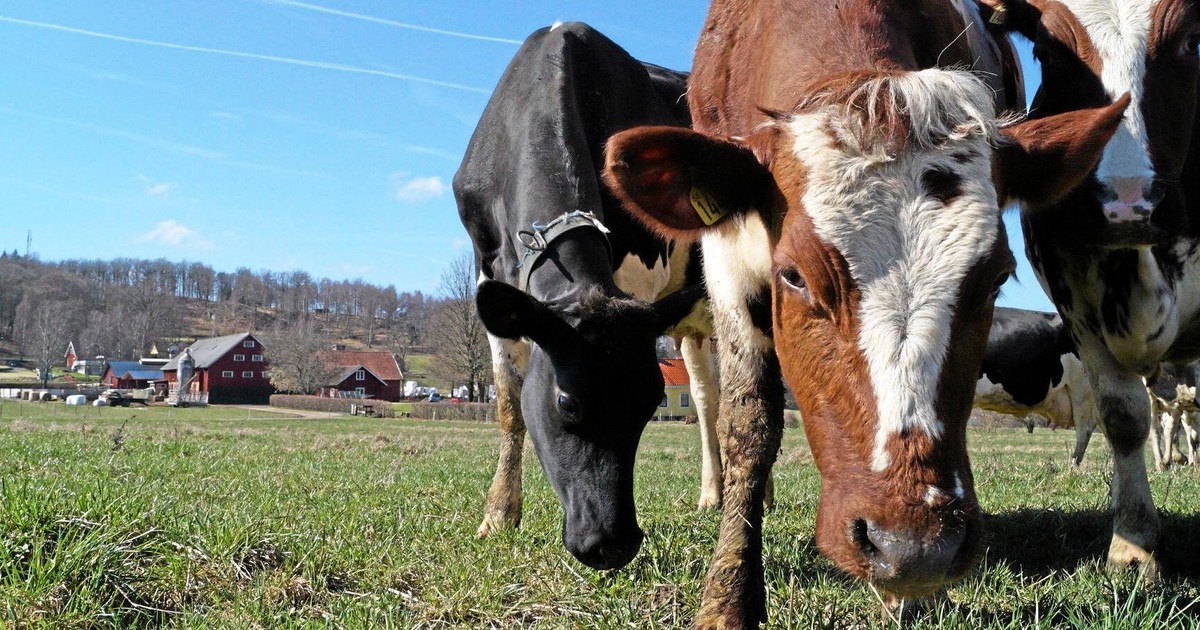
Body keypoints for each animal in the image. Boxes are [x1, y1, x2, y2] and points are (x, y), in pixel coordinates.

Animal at [453, 22, 720, 572]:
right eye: (566, 402)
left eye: (651, 402)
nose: (613, 543)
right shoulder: (485, 263)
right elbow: (508, 405)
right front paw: (498, 516)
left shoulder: (641, 268)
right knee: (709, 396)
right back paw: (713, 495)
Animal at [986, 0, 1200, 577]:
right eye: (1046, 52)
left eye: (1190, 41)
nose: (1127, 205)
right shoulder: (1077, 312)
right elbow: (1124, 418)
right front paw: (1134, 545)